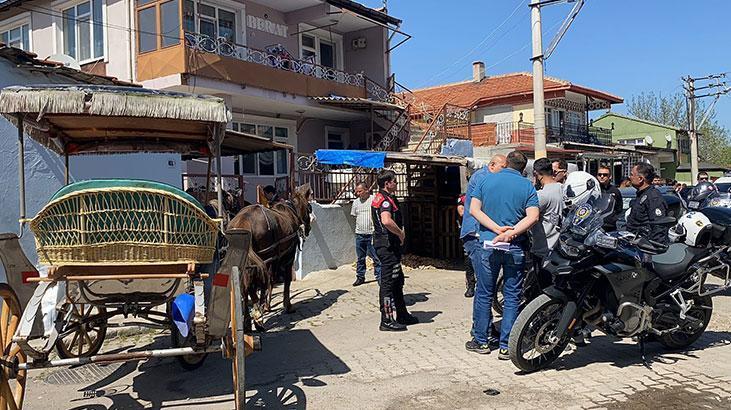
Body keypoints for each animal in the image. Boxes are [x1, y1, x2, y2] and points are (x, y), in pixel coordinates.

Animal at [230, 184, 314, 316]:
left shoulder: (274, 258)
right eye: (309, 207)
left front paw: (266, 305)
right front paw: (287, 305)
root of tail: (243, 221)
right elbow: (285, 279)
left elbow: (271, 278)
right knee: (252, 282)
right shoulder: (287, 256)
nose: (309, 228)